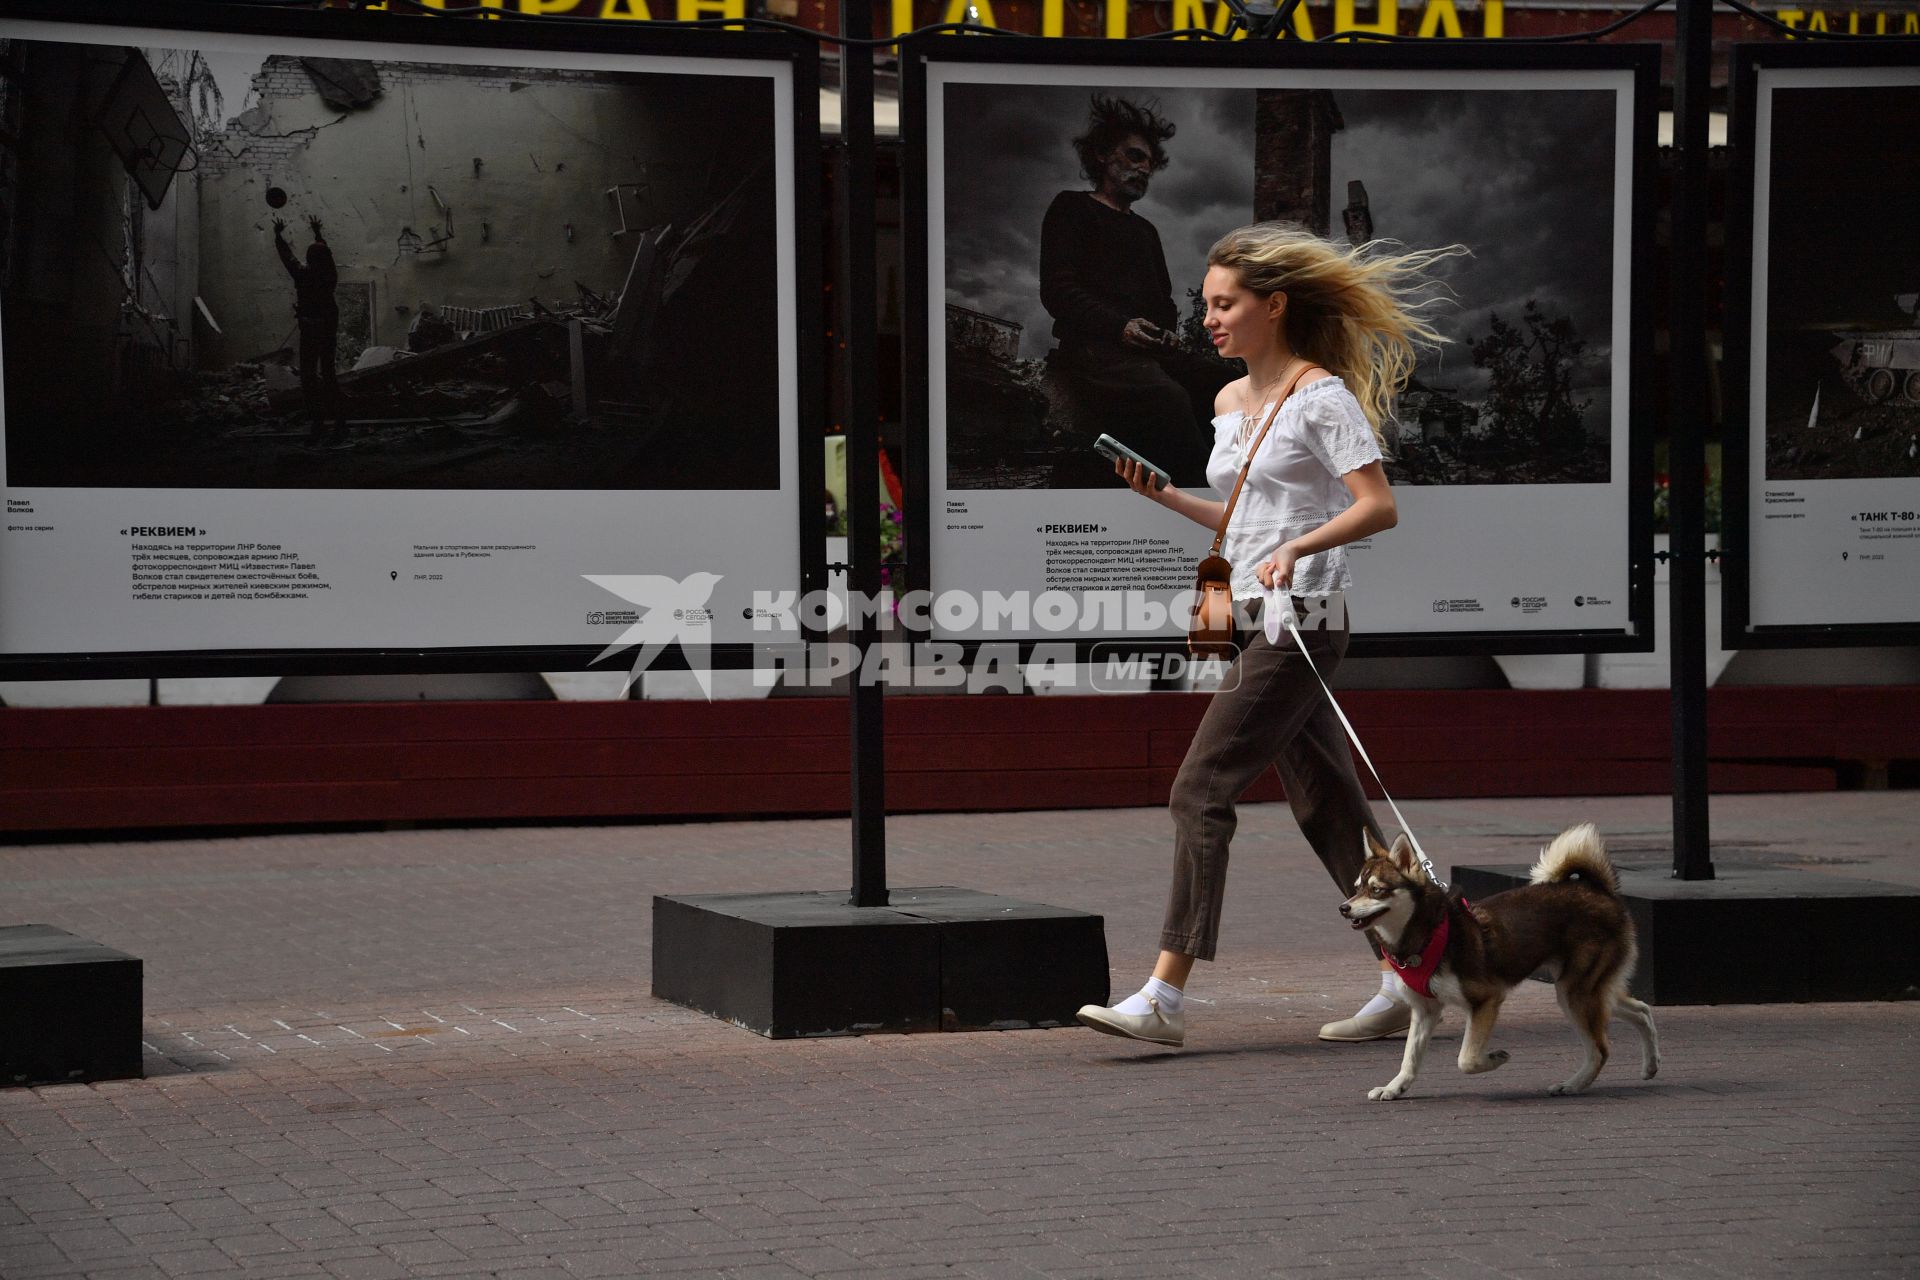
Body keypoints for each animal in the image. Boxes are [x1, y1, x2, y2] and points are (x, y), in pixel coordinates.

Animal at [1336, 825, 1666, 1105]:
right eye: (1356, 887)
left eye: (1377, 890)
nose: (1344, 907)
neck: (1429, 935)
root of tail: (1598, 889)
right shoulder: (1425, 1010)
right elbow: (1410, 1059)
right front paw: (1395, 1088)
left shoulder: (1486, 1000)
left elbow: (1466, 1059)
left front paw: (1496, 1058)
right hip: (1583, 991)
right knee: (1641, 1010)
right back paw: (1650, 1064)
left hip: (1576, 994)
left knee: (1600, 1049)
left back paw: (1572, 1085)